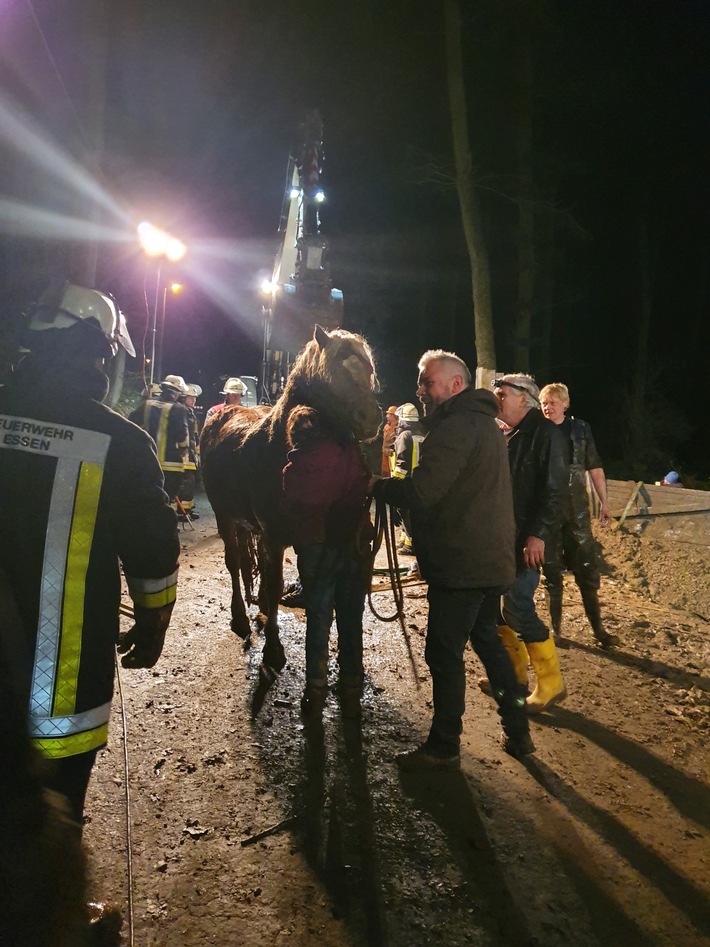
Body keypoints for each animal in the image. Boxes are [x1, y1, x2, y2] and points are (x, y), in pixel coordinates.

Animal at [200, 326, 384, 672]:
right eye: (336, 367)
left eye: (369, 369)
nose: (370, 418)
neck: (277, 447)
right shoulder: (275, 537)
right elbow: (275, 585)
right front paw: (273, 650)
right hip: (224, 515)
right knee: (235, 562)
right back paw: (240, 616)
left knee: (251, 561)